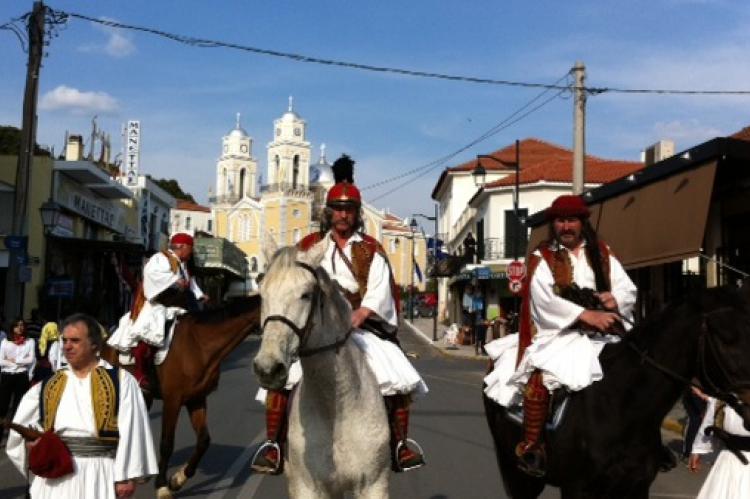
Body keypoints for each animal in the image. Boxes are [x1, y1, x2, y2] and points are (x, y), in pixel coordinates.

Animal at [103, 294, 262, 498]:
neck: (200, 346)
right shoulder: (173, 400)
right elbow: (166, 443)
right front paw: (162, 485)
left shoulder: (197, 399)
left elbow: (203, 440)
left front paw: (178, 479)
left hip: (144, 395)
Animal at [254, 240, 394, 498]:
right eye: (262, 293)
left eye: (306, 294)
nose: (267, 369)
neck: (334, 409)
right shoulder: (304, 487)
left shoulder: (374, 485)